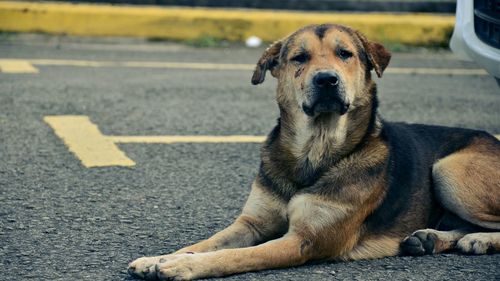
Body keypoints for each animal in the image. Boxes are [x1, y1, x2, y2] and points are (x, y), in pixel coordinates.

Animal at [127, 24, 498, 280]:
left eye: (345, 54)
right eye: (299, 58)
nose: (326, 80)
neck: (314, 150)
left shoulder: (304, 241)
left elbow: (235, 256)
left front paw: (179, 267)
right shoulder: (251, 223)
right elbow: (205, 244)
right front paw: (161, 258)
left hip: (449, 170)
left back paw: (479, 239)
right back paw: (429, 238)